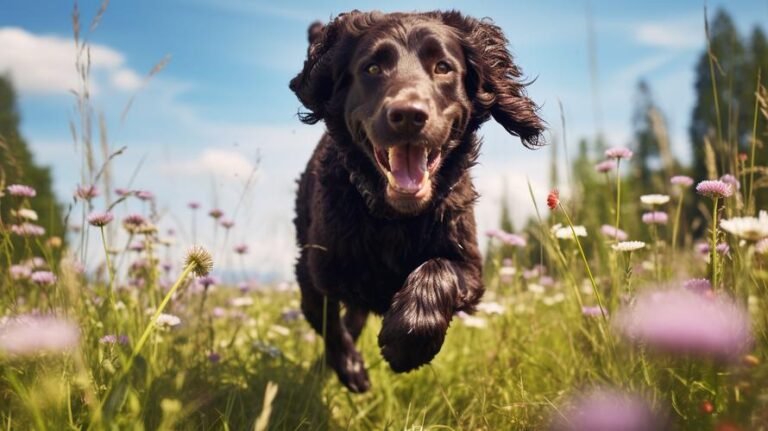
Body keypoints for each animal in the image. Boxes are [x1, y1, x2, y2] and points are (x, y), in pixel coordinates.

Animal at [290, 11, 544, 394]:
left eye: (443, 67)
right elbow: (328, 324)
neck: (395, 219)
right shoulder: (314, 269)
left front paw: (406, 342)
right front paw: (351, 368)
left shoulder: (470, 267)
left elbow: (438, 270)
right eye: (372, 68)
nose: (408, 115)